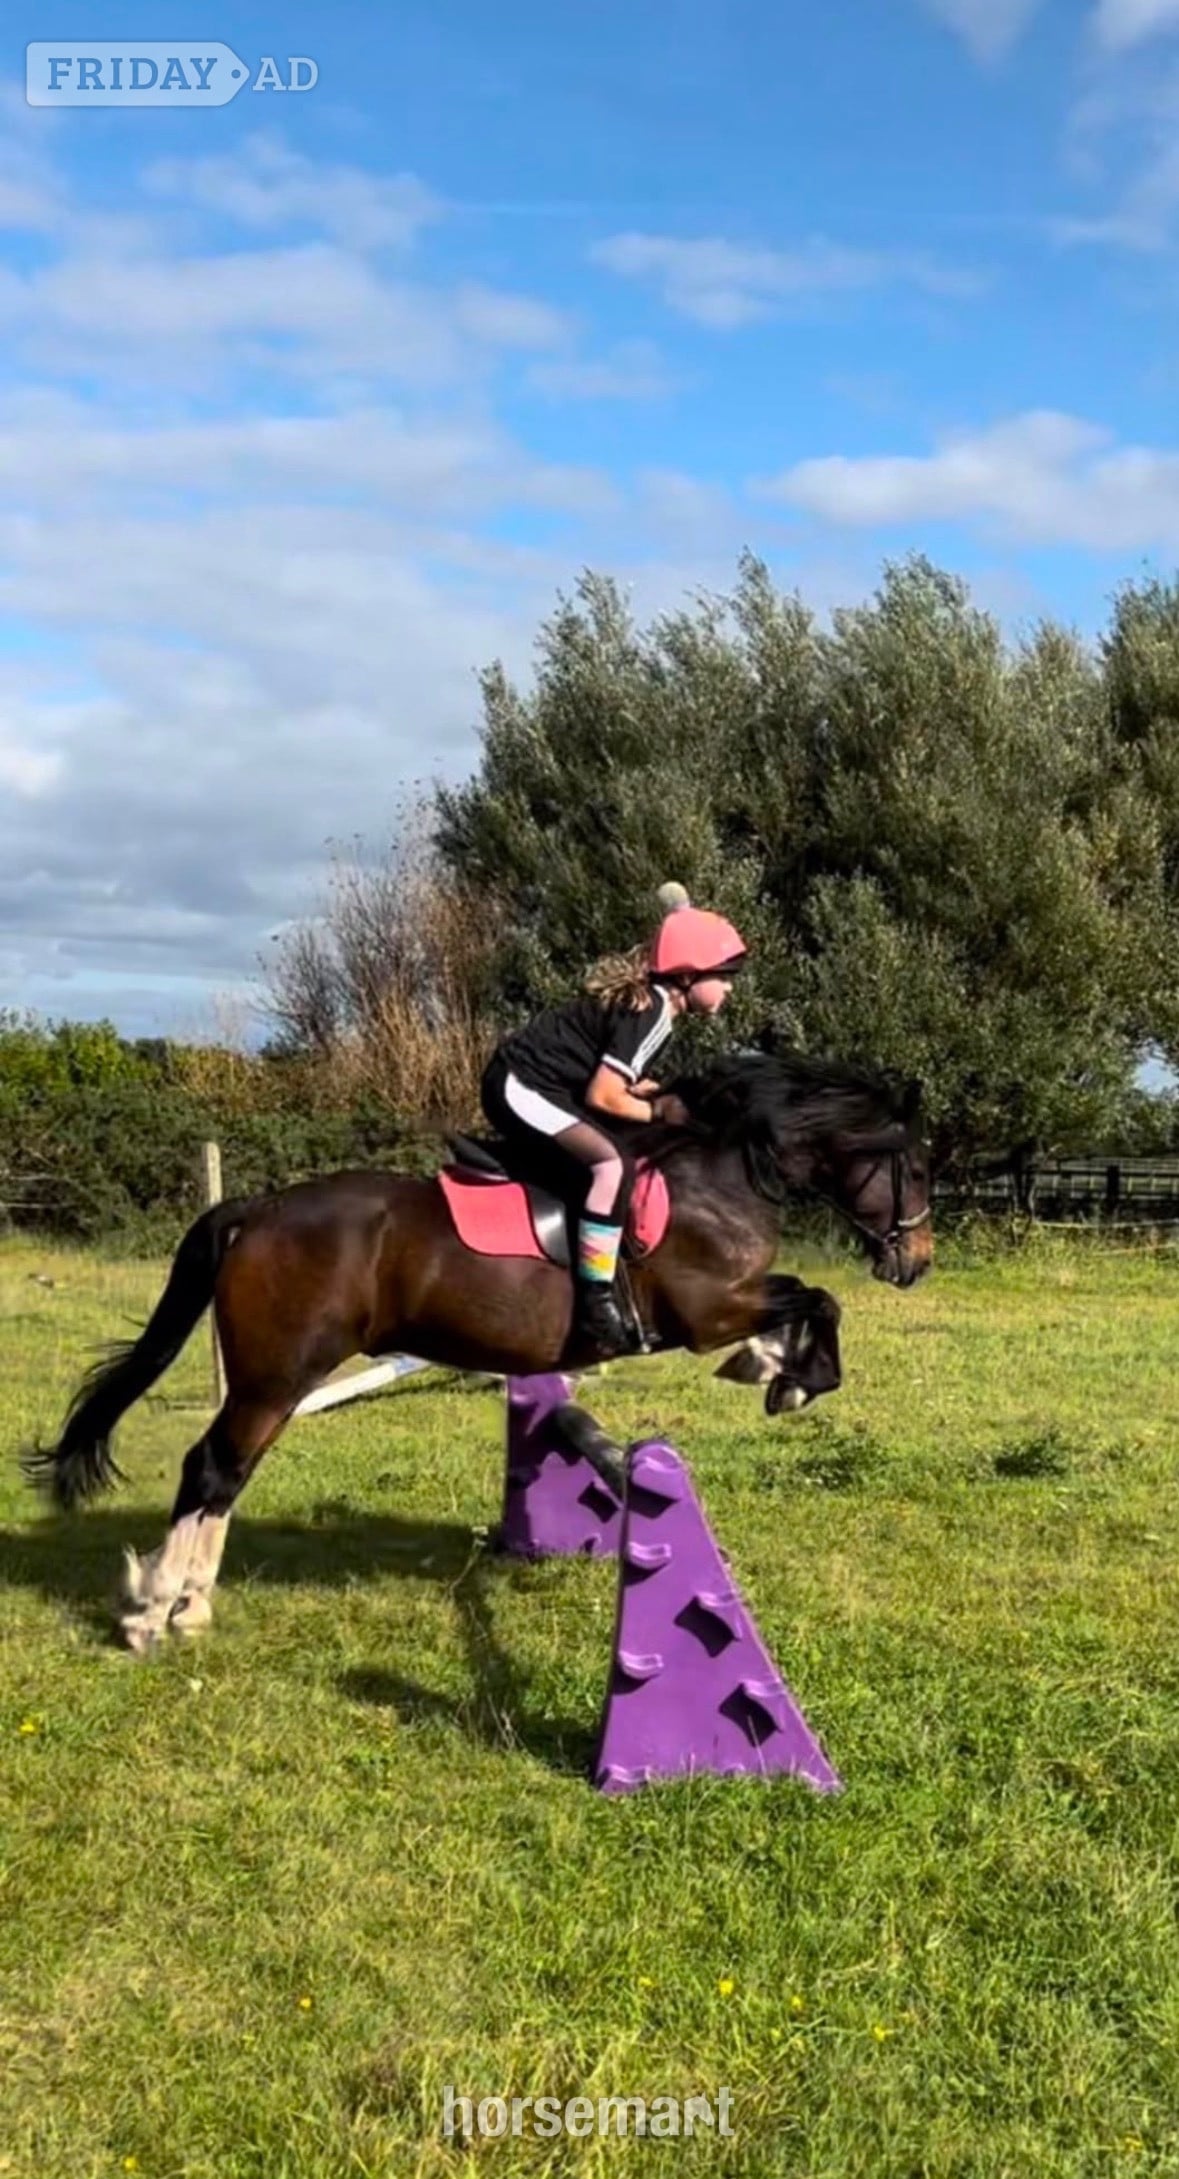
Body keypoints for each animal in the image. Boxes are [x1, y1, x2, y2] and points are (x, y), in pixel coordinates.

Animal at [22, 1048, 933, 1651]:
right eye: (916, 1167)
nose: (916, 1263)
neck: (724, 1169)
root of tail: (258, 1209)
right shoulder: (704, 1309)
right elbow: (817, 1299)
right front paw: (792, 1375)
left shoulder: (728, 1300)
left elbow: (804, 1298)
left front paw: (772, 1365)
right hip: (275, 1378)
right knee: (212, 1467)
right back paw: (153, 1610)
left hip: (270, 1383)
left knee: (226, 1473)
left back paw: (191, 1605)